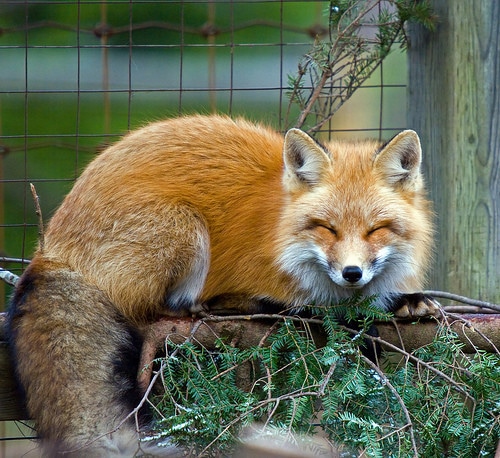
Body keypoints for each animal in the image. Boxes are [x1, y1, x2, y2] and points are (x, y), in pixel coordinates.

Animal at [8, 115, 438, 454]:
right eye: (326, 228)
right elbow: (308, 311)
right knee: (150, 312)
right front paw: (350, 325)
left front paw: (409, 302)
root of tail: (51, 249)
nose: (352, 273)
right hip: (185, 229)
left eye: (376, 230)